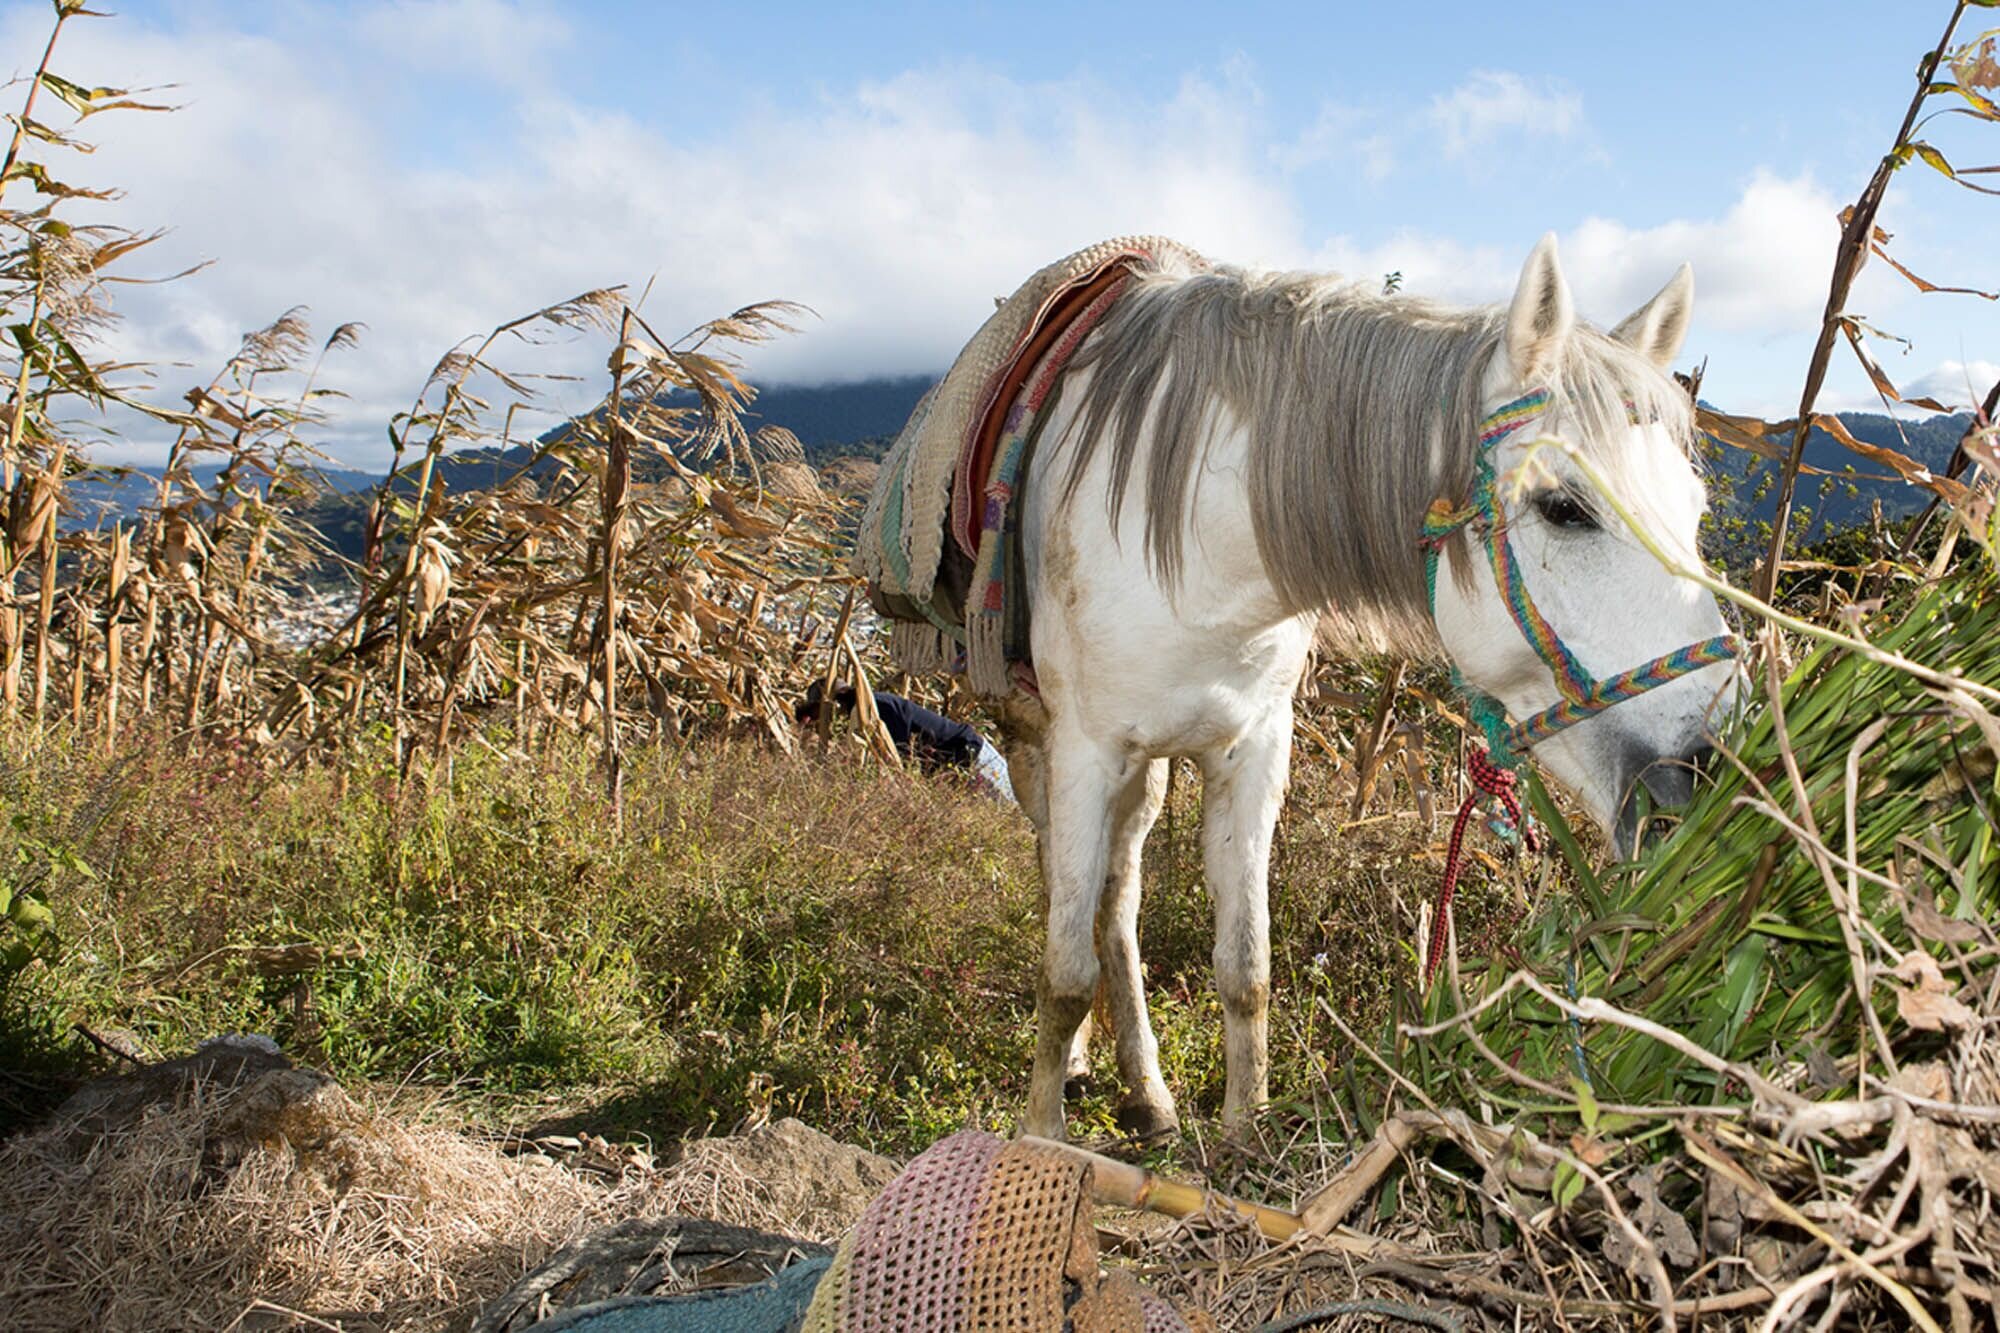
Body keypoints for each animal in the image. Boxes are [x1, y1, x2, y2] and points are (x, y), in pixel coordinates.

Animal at [1000, 236, 1736, 1128]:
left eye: (1694, 512)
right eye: (1565, 508)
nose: (1704, 774)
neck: (1189, 543)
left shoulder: (1252, 750)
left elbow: (1245, 966)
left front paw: (1246, 1130)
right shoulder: (1084, 751)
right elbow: (1064, 973)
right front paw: (1040, 1137)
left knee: (1117, 892)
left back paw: (1145, 1087)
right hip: (1037, 741)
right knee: (1070, 885)